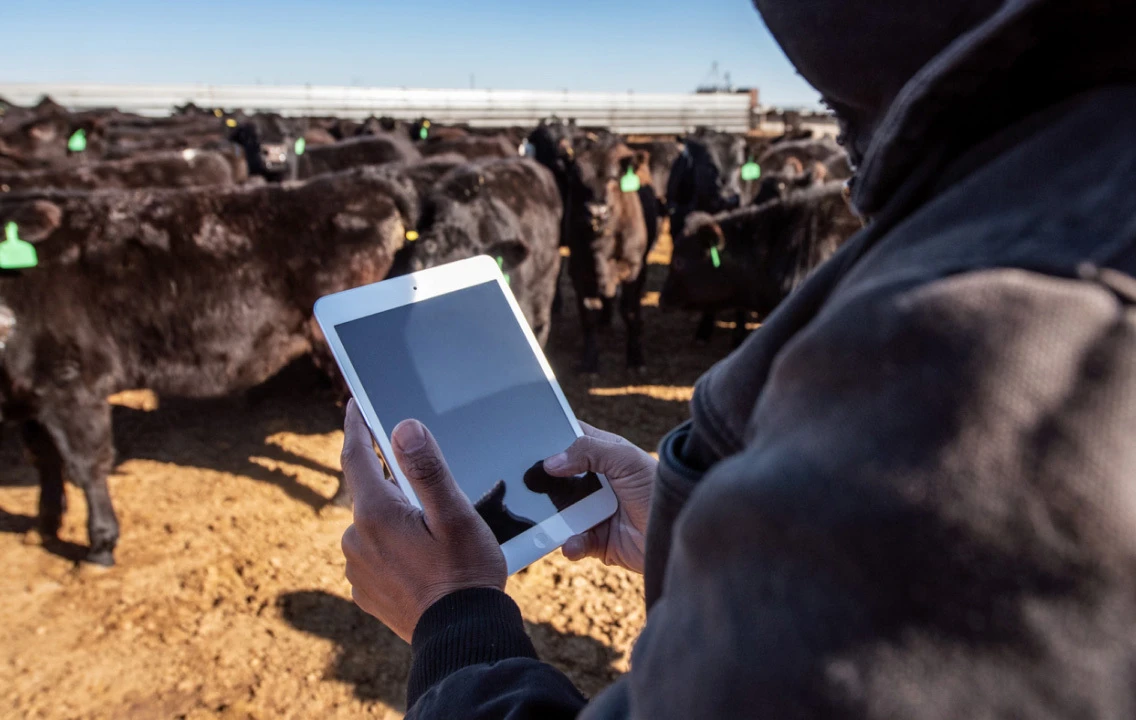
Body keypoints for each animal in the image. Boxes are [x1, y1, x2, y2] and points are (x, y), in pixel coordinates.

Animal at [0, 165, 418, 563]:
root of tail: (361, 181)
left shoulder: (73, 386)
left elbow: (86, 465)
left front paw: (100, 545)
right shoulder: (27, 396)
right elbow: (44, 459)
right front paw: (45, 524)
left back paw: (345, 499)